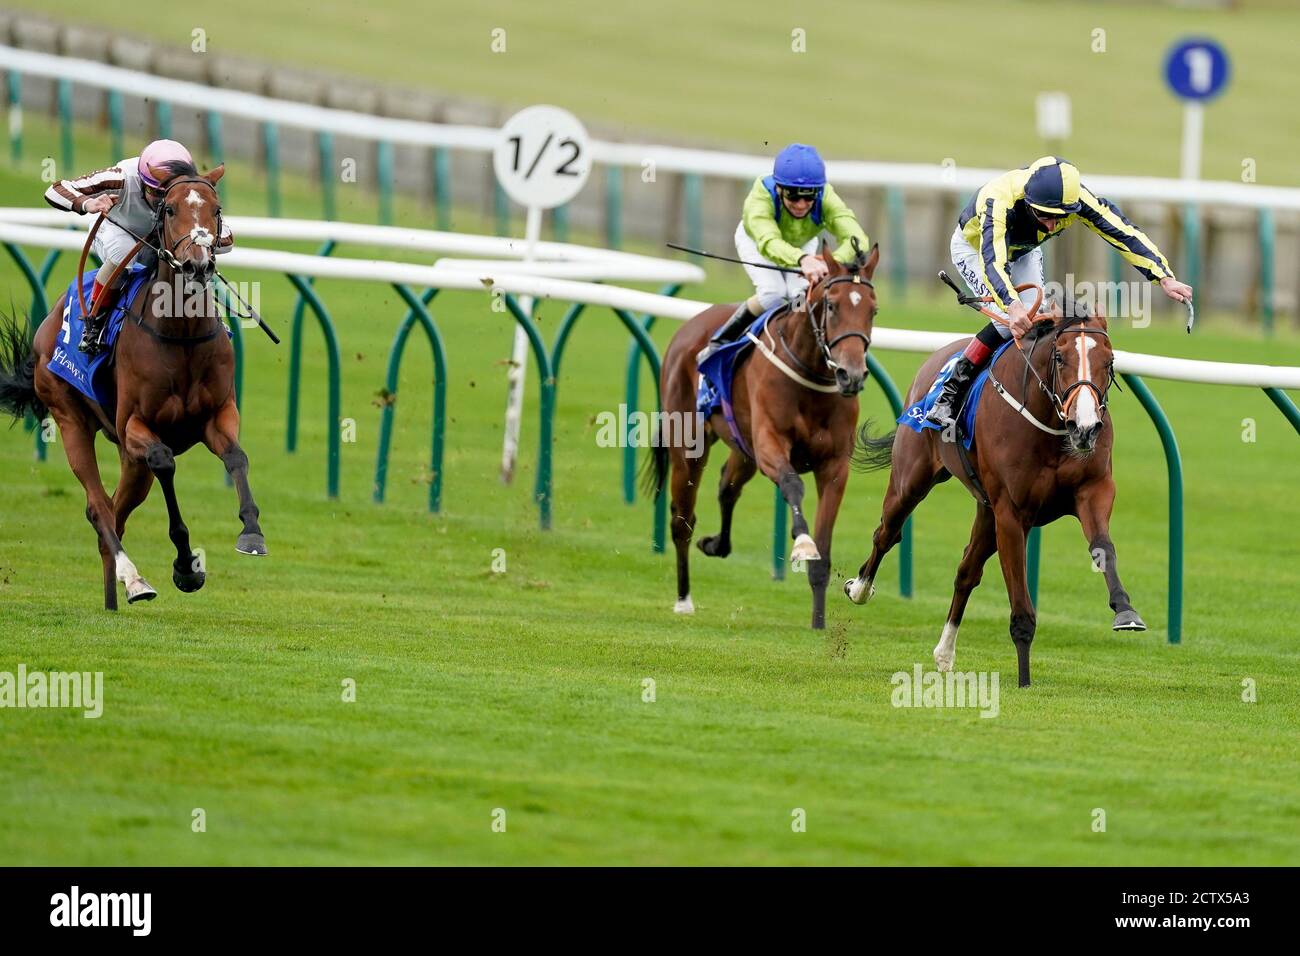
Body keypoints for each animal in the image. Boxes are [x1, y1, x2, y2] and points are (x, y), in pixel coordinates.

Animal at [0, 164, 265, 608]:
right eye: (170, 209)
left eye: (216, 210)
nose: (197, 265)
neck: (180, 332)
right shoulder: (135, 426)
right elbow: (164, 461)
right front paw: (185, 565)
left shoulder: (218, 415)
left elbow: (237, 458)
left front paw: (251, 534)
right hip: (70, 417)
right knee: (98, 507)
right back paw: (134, 579)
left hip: (129, 461)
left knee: (115, 510)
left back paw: (116, 592)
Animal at [644, 240, 878, 629]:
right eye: (832, 305)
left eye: (873, 310)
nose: (852, 375)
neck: (811, 376)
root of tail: (690, 326)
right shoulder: (771, 444)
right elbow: (792, 484)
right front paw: (802, 542)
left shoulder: (834, 467)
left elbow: (823, 557)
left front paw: (818, 623)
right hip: (689, 445)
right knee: (682, 519)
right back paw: (683, 599)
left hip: (743, 449)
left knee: (727, 486)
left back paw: (715, 544)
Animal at [842, 287, 1138, 686]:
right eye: (1061, 357)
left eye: (1108, 361)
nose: (1086, 427)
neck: (1051, 425)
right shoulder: (1011, 514)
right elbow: (1021, 605)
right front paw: (1025, 680)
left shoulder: (1093, 491)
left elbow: (1103, 547)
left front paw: (1125, 611)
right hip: (912, 480)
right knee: (887, 533)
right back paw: (859, 588)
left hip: (985, 509)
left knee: (966, 571)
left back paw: (944, 653)